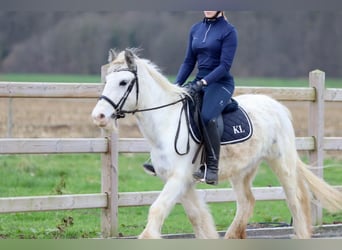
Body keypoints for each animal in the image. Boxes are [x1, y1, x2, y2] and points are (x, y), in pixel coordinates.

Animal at [91, 48, 342, 238]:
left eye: (123, 82)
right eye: (107, 80)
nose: (99, 116)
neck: (167, 121)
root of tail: (275, 105)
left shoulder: (178, 178)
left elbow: (158, 210)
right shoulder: (182, 181)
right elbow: (198, 217)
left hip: (282, 163)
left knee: (295, 199)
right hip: (242, 170)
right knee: (247, 202)